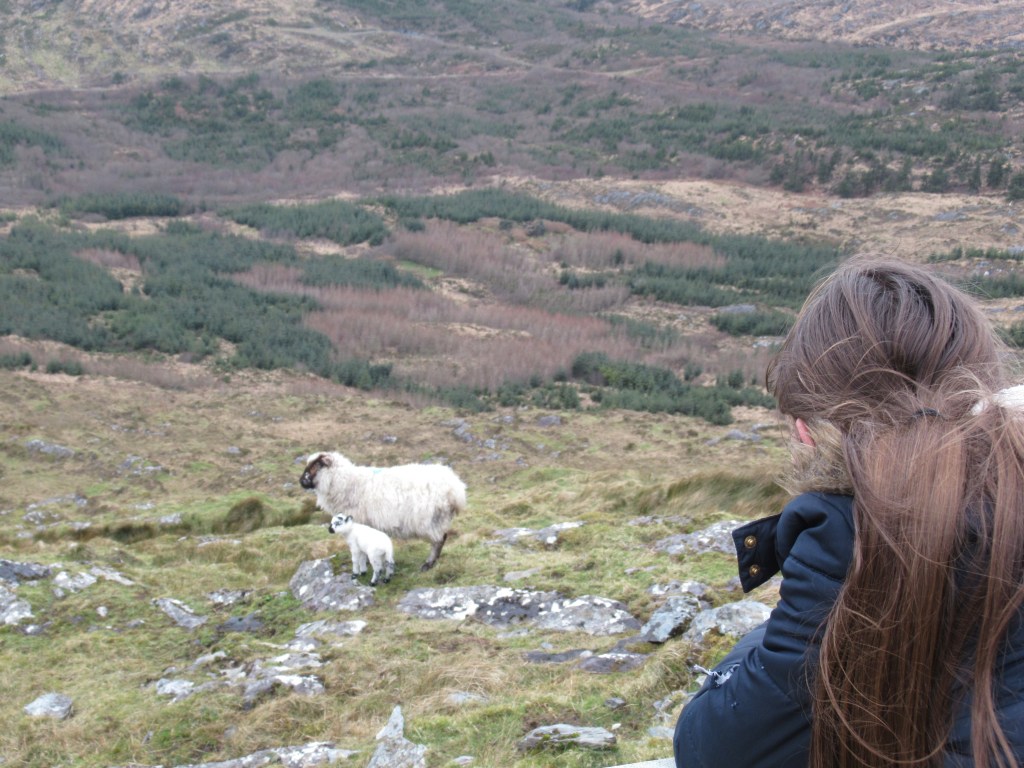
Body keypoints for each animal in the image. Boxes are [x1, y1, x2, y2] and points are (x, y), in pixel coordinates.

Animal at [300, 451, 466, 570]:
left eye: (315, 465)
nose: (301, 481)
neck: (346, 482)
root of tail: (455, 488)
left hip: (432, 519)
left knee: (439, 541)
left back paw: (428, 564)